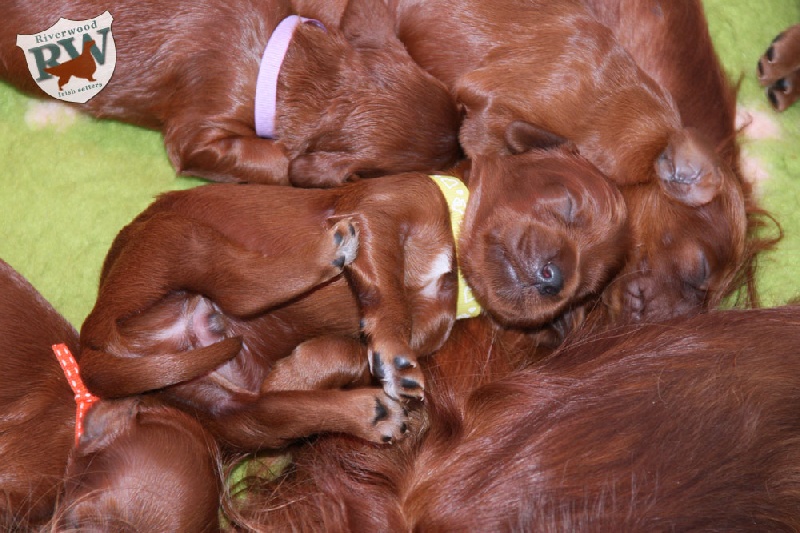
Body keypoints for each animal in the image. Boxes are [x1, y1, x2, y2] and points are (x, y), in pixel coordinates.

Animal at [76, 136, 627, 453]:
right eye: (569, 205)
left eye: (586, 288)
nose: (557, 281)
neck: (453, 263)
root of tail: (96, 337)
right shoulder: (381, 209)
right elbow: (387, 298)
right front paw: (392, 358)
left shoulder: (429, 328)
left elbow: (347, 348)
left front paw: (297, 373)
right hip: (177, 238)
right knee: (239, 289)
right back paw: (330, 252)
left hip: (231, 418)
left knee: (271, 412)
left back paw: (370, 414)